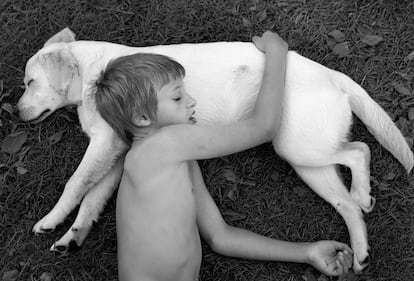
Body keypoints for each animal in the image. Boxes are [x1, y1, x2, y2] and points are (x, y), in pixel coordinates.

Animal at [16, 27, 410, 272]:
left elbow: (75, 186)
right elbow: (92, 199)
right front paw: (73, 236)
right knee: (348, 204)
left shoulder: (103, 144)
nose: (15, 113)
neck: (93, 73)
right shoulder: (117, 155)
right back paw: (360, 249)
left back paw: (362, 192)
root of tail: (330, 73)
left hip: (297, 147)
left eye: (30, 82)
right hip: (307, 162)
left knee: (359, 150)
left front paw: (50, 220)